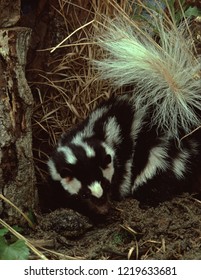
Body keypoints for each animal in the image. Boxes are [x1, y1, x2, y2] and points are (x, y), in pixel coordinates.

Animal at [47, 16, 201, 215]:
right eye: (83, 194)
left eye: (106, 184)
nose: (104, 209)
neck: (91, 133)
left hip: (159, 152)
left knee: (156, 178)